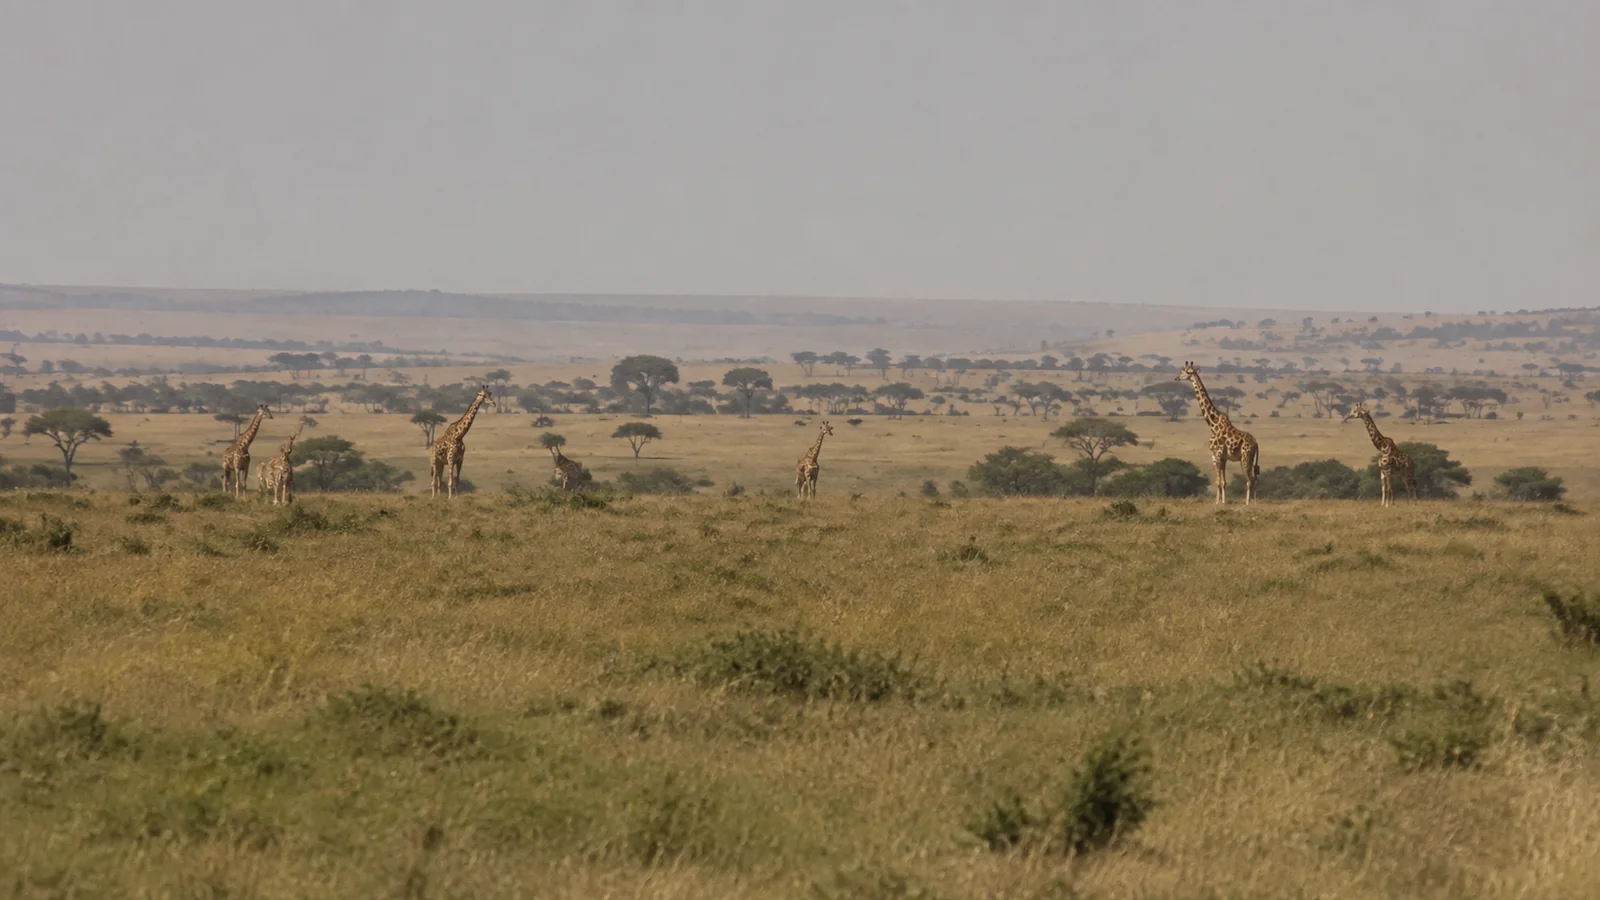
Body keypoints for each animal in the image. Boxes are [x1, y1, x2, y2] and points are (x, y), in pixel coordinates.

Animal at [1175, 362, 1260, 504]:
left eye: (1185, 371)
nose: (1176, 378)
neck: (1212, 425)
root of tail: (1256, 443)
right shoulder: (1222, 458)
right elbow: (1223, 482)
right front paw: (1221, 502)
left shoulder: (1217, 455)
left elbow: (1218, 482)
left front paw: (1219, 503)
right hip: (1247, 459)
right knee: (1255, 479)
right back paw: (1252, 502)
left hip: (1245, 458)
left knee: (1251, 480)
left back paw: (1249, 503)